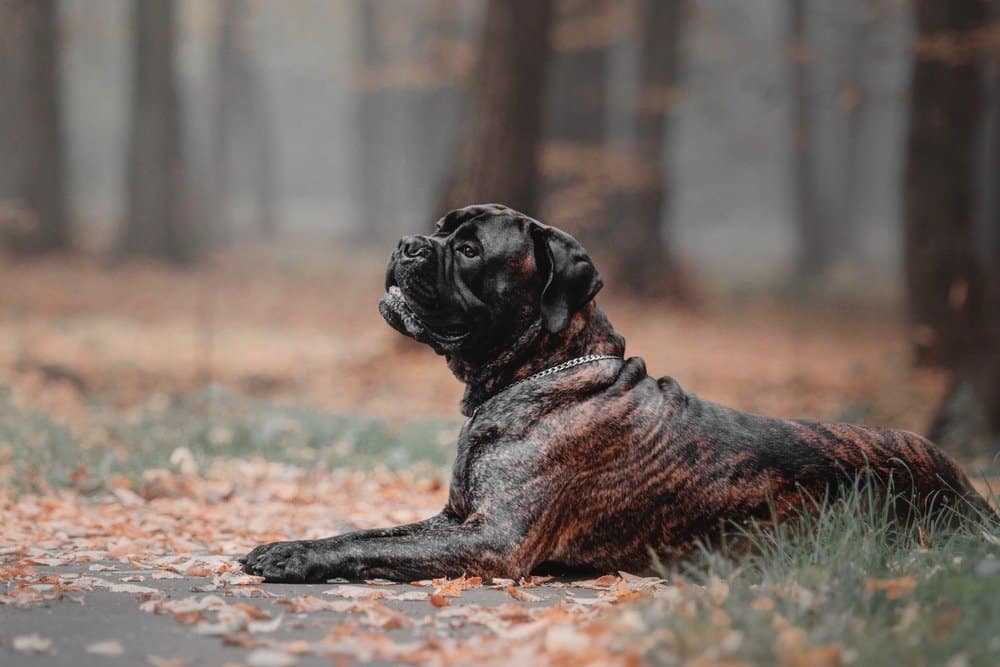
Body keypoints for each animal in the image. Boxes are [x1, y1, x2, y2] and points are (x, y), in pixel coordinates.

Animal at [244, 205, 992, 584]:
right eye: (437, 229)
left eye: (468, 248)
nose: (407, 243)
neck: (540, 371)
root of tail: (968, 486)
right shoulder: (454, 519)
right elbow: (370, 533)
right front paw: (296, 541)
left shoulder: (492, 539)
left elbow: (372, 549)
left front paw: (293, 558)